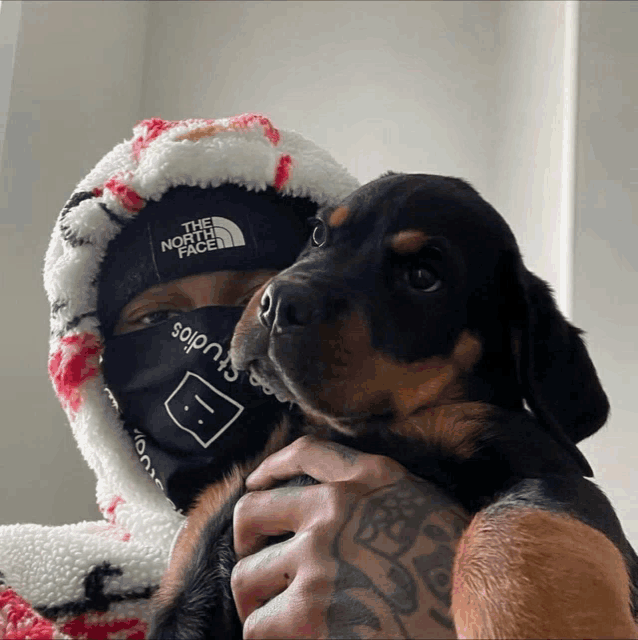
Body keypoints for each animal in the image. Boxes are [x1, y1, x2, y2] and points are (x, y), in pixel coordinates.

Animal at [151, 172, 638, 636]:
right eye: (319, 235)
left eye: (423, 277)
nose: (278, 303)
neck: (355, 428)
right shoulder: (195, 569)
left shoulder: (550, 469)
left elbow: (515, 525)